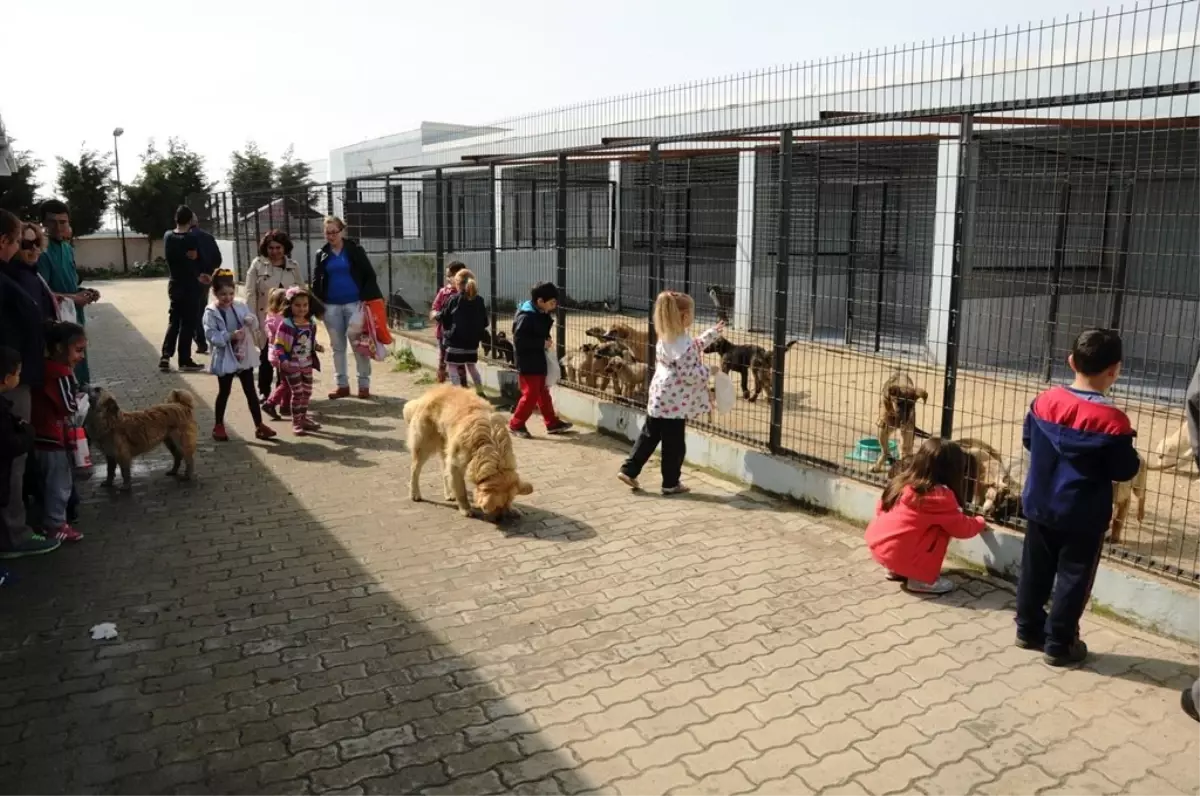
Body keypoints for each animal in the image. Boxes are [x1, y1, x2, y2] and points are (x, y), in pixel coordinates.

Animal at [405, 386, 532, 523]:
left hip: (446, 447)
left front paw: (513, 509)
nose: (500, 519)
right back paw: (415, 493)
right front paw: (465, 509)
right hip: (425, 447)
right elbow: (461, 491)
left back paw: (448, 494)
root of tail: (428, 394)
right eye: (497, 506)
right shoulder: (455, 465)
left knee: (444, 471)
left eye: (506, 505)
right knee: (414, 470)